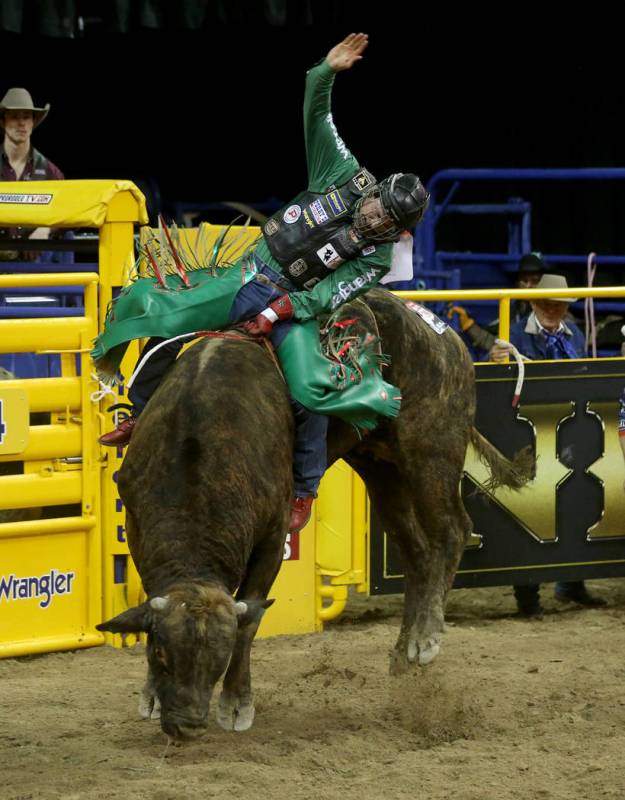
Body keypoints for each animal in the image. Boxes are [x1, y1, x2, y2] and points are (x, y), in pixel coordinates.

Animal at [98, 290, 532, 740]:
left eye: (218, 659)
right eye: (161, 654)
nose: (186, 725)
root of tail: (444, 336)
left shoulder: (274, 537)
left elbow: (251, 619)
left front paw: (237, 704)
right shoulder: (136, 525)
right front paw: (151, 695)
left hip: (432, 448)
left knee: (451, 531)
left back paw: (427, 639)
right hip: (379, 465)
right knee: (416, 552)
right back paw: (403, 653)